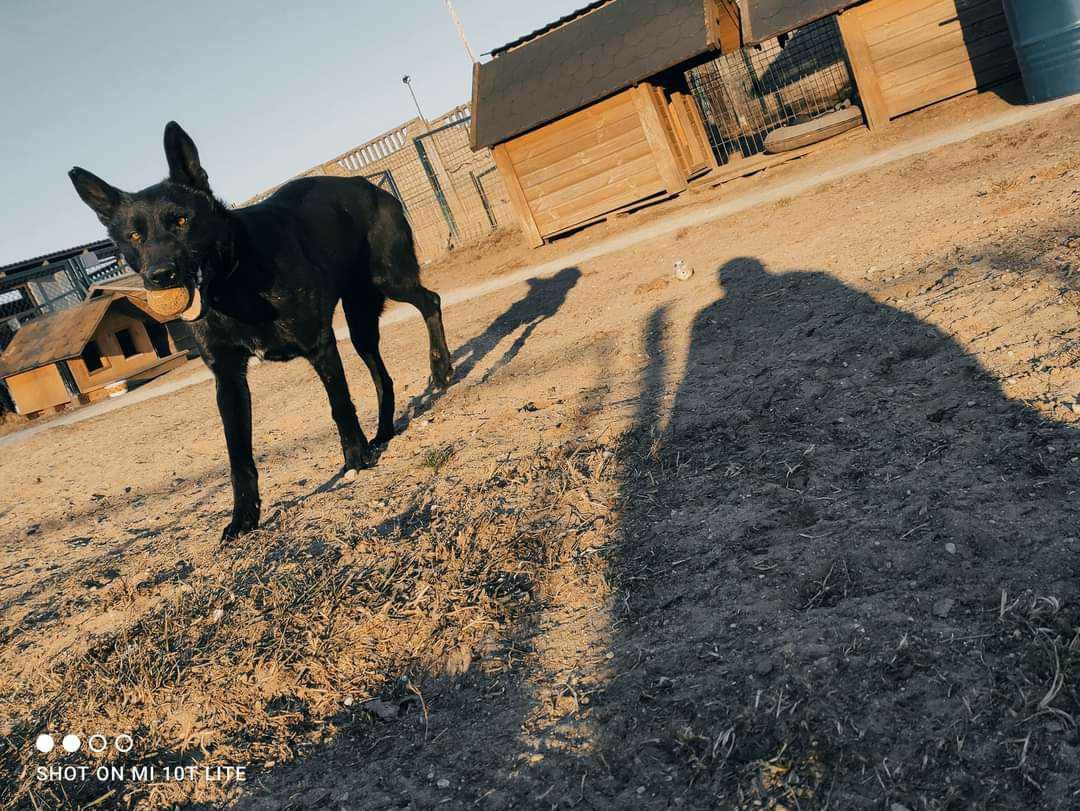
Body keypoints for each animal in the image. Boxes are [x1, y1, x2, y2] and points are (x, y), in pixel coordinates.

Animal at [69, 122, 453, 539]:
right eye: (134, 237)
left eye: (182, 221)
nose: (160, 276)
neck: (231, 282)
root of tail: (365, 183)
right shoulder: (228, 380)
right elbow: (238, 454)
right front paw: (243, 516)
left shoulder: (320, 345)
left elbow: (340, 406)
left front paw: (354, 458)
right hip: (360, 321)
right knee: (382, 375)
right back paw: (382, 434)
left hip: (389, 280)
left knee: (431, 301)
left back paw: (440, 370)